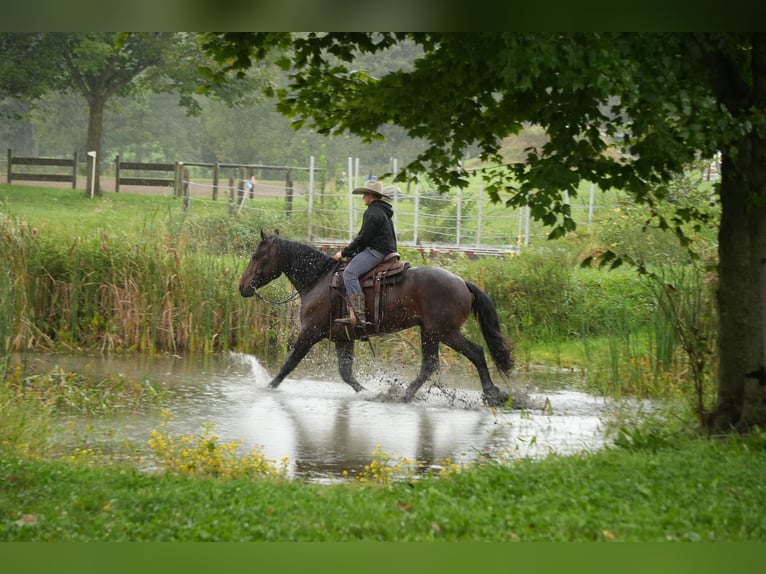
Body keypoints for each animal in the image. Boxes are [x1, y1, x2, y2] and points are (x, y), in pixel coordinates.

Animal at [238, 230, 513, 406]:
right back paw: (404, 395)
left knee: (475, 352)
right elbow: (346, 374)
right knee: (430, 364)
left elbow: (288, 365)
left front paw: (267, 388)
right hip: (430, 332)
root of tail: (463, 283)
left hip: (445, 332)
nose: (242, 287)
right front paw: (368, 393)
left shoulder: (309, 333)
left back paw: (491, 395)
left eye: (256, 256)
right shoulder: (343, 338)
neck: (319, 280)